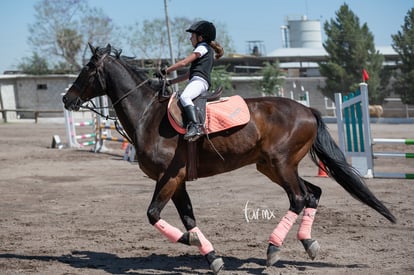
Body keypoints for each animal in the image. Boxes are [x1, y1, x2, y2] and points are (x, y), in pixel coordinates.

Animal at [62, 44, 394, 274]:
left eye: (88, 69)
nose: (67, 99)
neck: (148, 114)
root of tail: (307, 110)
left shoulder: (169, 177)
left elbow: (154, 214)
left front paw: (191, 242)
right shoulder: (177, 180)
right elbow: (189, 218)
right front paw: (211, 255)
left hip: (281, 164)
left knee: (299, 198)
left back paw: (273, 249)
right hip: (271, 167)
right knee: (313, 193)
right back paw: (308, 243)